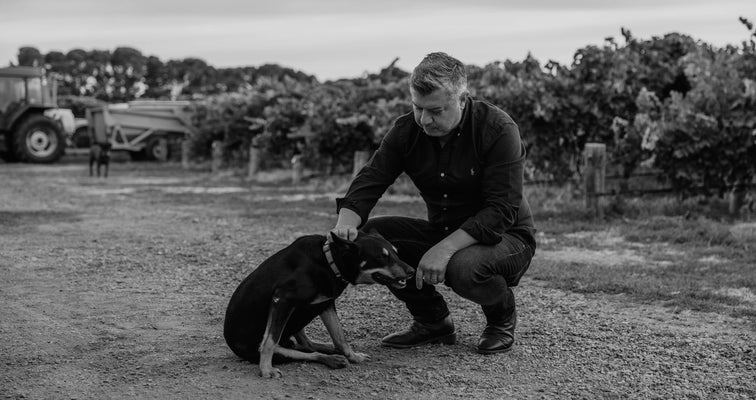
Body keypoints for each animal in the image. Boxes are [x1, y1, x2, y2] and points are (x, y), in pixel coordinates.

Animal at [223, 230, 414, 376]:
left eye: (396, 252)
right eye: (381, 257)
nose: (412, 271)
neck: (329, 262)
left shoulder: (326, 303)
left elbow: (340, 337)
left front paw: (353, 356)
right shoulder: (282, 299)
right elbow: (269, 342)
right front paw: (265, 370)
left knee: (306, 345)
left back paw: (330, 350)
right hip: (278, 338)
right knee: (298, 351)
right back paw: (331, 358)